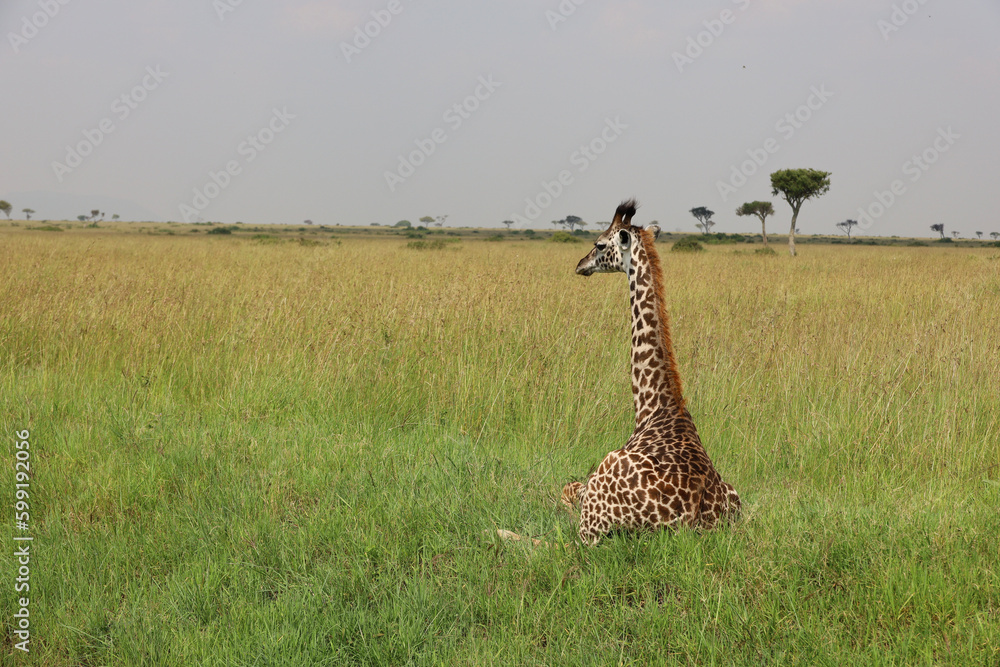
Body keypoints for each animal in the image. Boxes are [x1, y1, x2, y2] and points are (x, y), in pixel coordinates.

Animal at [563, 199, 741, 545]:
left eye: (599, 244)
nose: (580, 265)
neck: (653, 405)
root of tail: (691, 525)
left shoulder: (587, 491)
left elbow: (565, 487)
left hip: (591, 522)